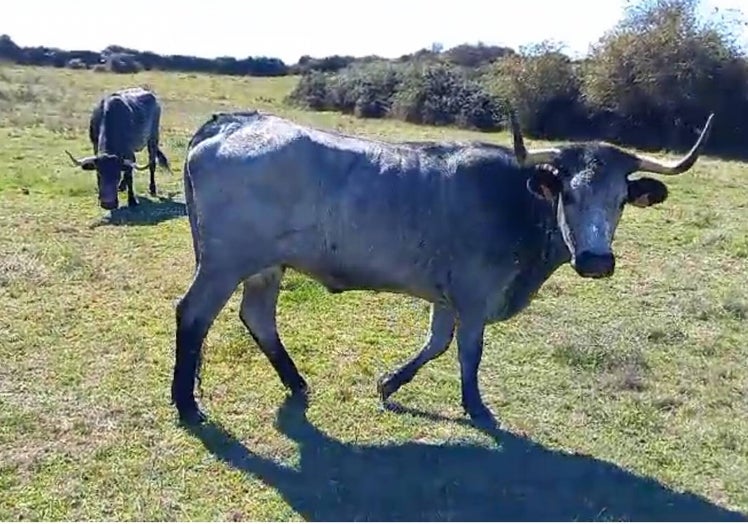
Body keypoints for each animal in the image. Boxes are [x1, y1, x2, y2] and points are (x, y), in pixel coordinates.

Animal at [169, 109, 712, 426]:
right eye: (569, 194)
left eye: (621, 200)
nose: (597, 260)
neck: (517, 203)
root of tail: (232, 123)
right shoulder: (474, 294)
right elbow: (468, 353)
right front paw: (476, 407)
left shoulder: (447, 294)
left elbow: (436, 343)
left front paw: (390, 383)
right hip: (224, 262)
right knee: (193, 315)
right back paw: (186, 403)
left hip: (266, 264)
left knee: (258, 317)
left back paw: (295, 382)